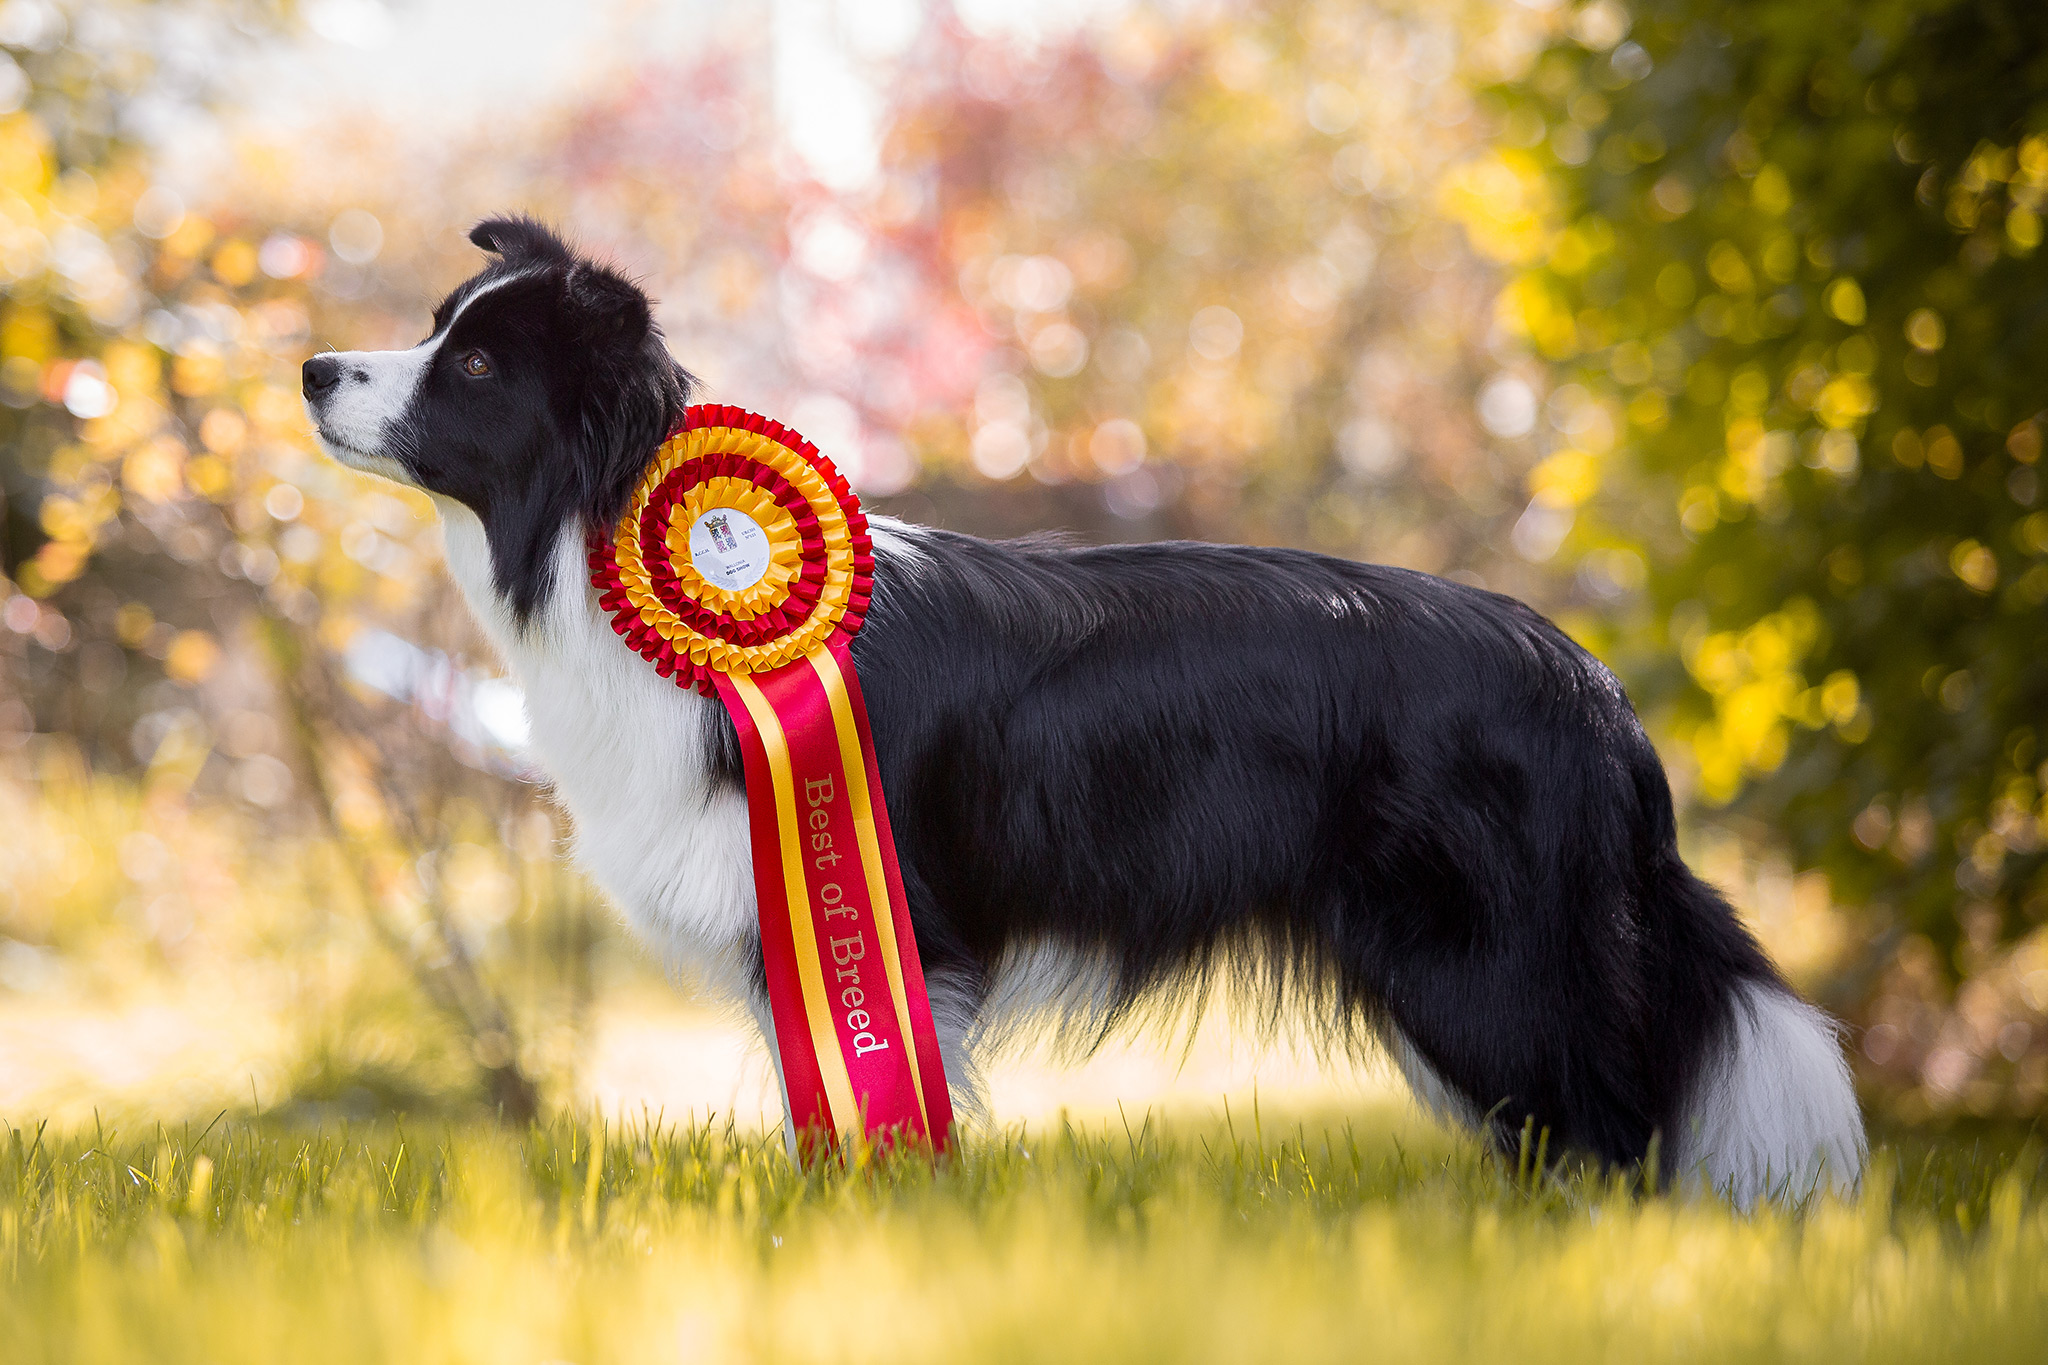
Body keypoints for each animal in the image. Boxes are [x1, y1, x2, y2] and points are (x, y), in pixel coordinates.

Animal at [307, 218, 1875, 1203]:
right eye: (438, 332)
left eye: (475, 366)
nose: (315, 366)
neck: (607, 533)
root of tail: (1594, 689)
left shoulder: (898, 926)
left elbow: (878, 1092)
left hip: (1487, 954)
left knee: (1612, 1130)